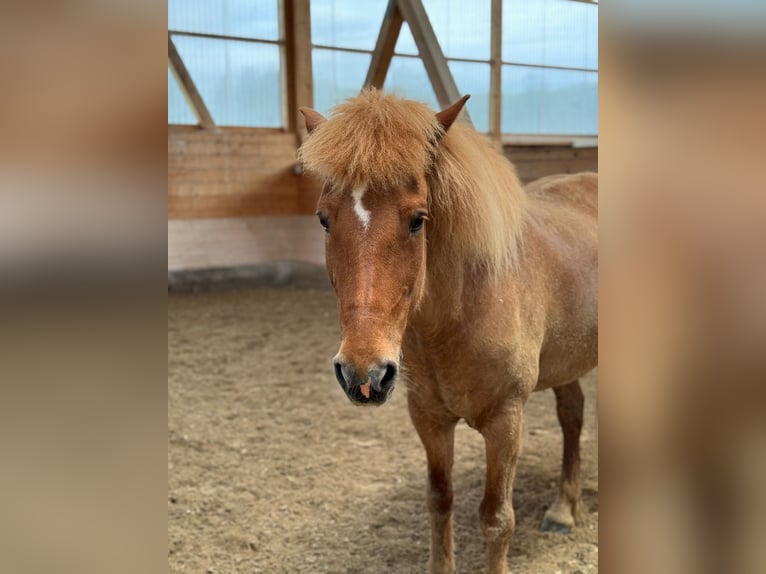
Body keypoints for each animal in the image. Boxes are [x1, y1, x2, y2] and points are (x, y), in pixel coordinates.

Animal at [297, 88, 597, 574]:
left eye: (418, 219)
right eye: (324, 219)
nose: (364, 373)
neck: (460, 313)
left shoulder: (505, 422)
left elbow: (496, 519)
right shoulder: (428, 418)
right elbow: (440, 501)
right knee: (572, 415)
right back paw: (562, 510)